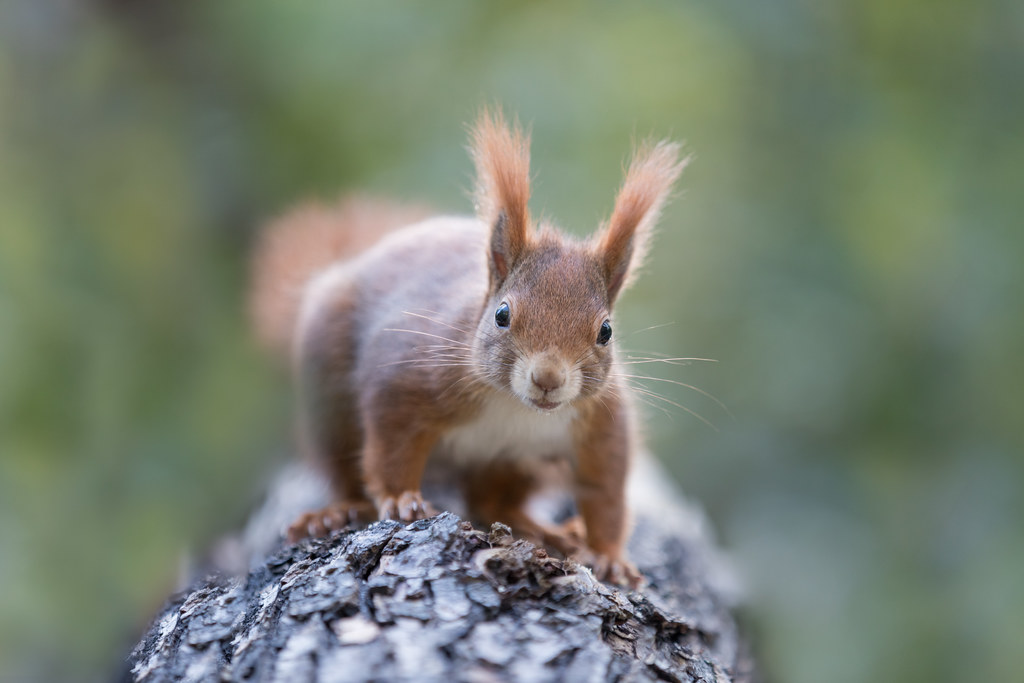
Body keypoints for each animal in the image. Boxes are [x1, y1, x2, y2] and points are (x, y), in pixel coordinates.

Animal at [249, 109, 688, 585]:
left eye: (605, 331)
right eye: (502, 315)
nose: (548, 379)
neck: (514, 407)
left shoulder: (601, 423)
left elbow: (604, 489)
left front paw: (609, 555)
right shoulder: (407, 378)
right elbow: (391, 445)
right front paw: (401, 497)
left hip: (522, 464)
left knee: (491, 501)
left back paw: (543, 528)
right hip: (328, 399)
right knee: (343, 465)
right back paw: (336, 510)